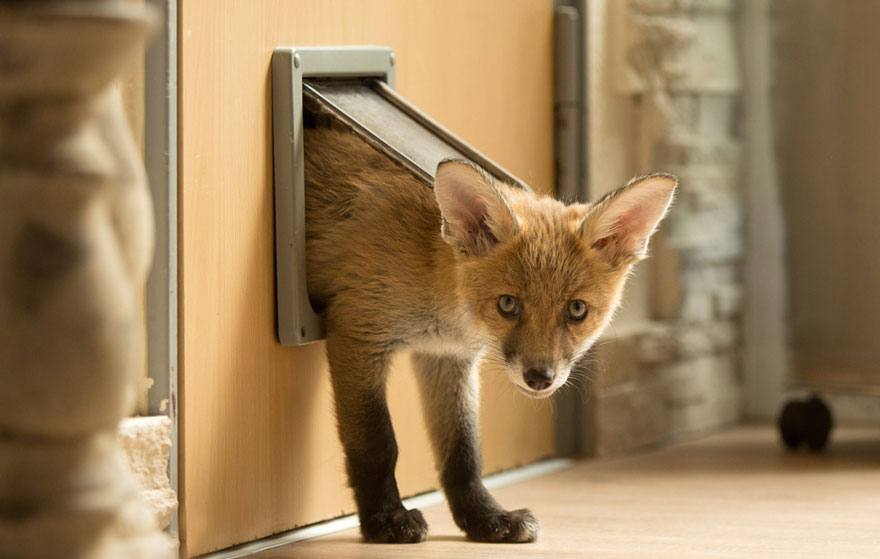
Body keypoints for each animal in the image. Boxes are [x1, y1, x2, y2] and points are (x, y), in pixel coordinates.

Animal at [303, 126, 676, 544]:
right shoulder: (360, 332)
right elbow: (377, 444)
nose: (540, 378)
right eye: (508, 304)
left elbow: (463, 453)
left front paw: (484, 517)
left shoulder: (447, 356)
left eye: (577, 310)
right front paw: (386, 519)